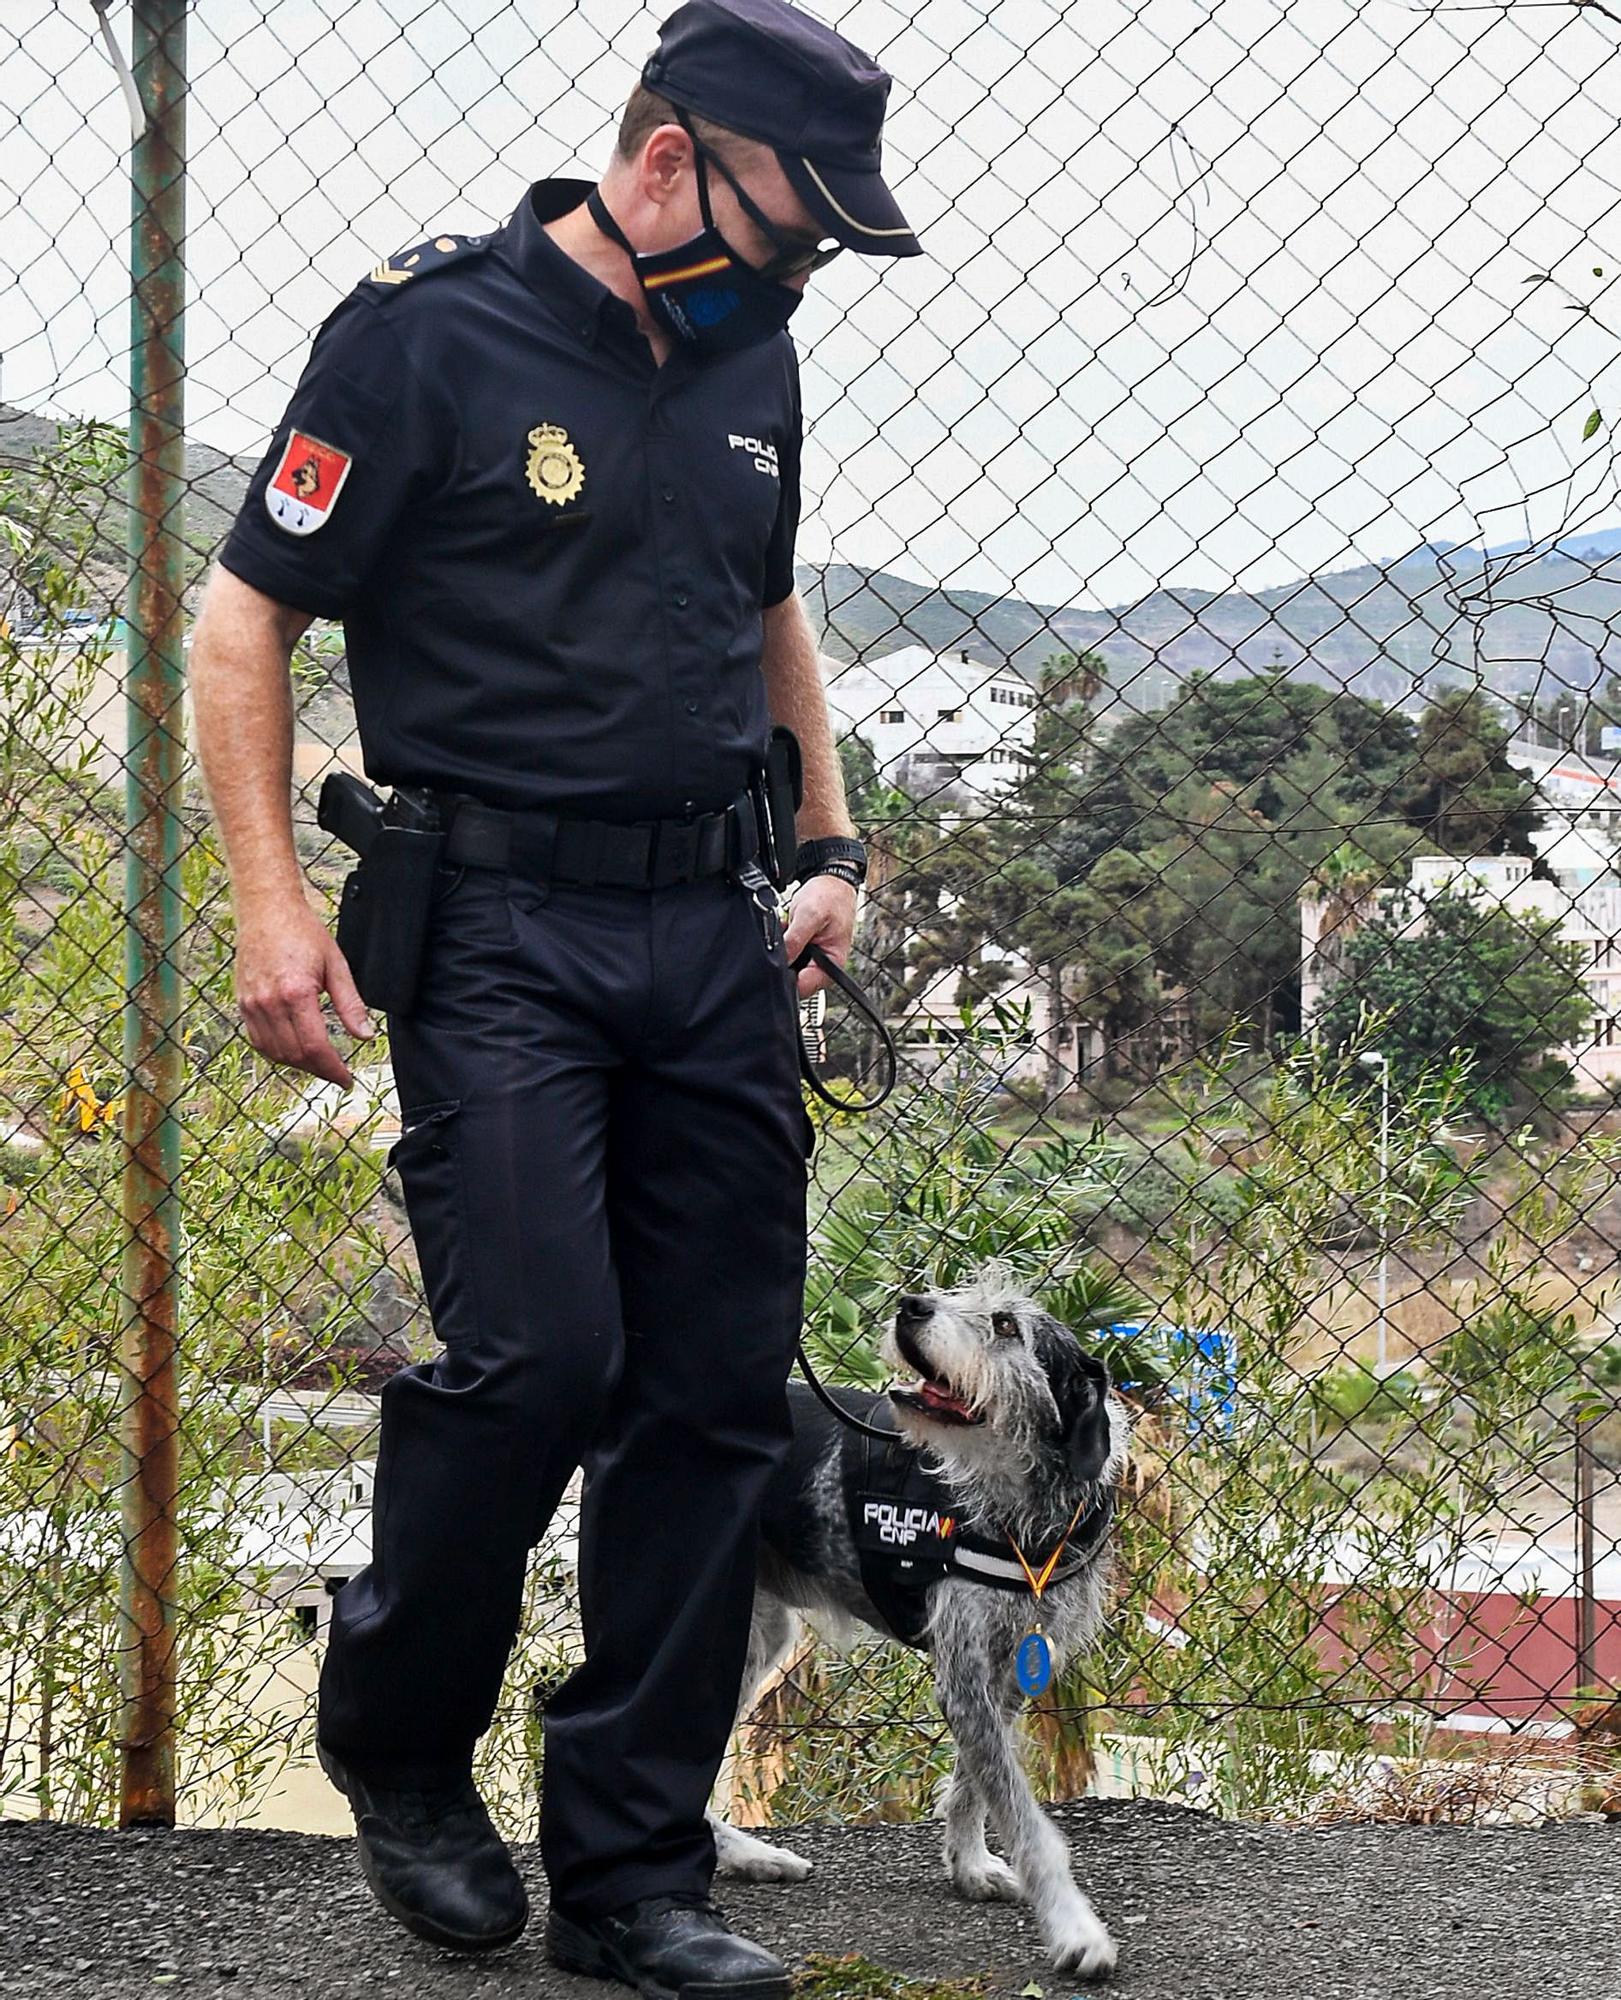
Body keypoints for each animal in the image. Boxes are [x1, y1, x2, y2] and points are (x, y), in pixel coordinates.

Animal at [708, 1272, 1120, 1976]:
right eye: (961, 1293)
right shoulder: (964, 1672)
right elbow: (1028, 1823)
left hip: (760, 1636)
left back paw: (747, 1856)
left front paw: (970, 1866)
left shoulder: (1005, 1671)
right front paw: (1074, 1928)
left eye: (1005, 1324)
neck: (1022, 1511)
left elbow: (973, 1786)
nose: (912, 1304)